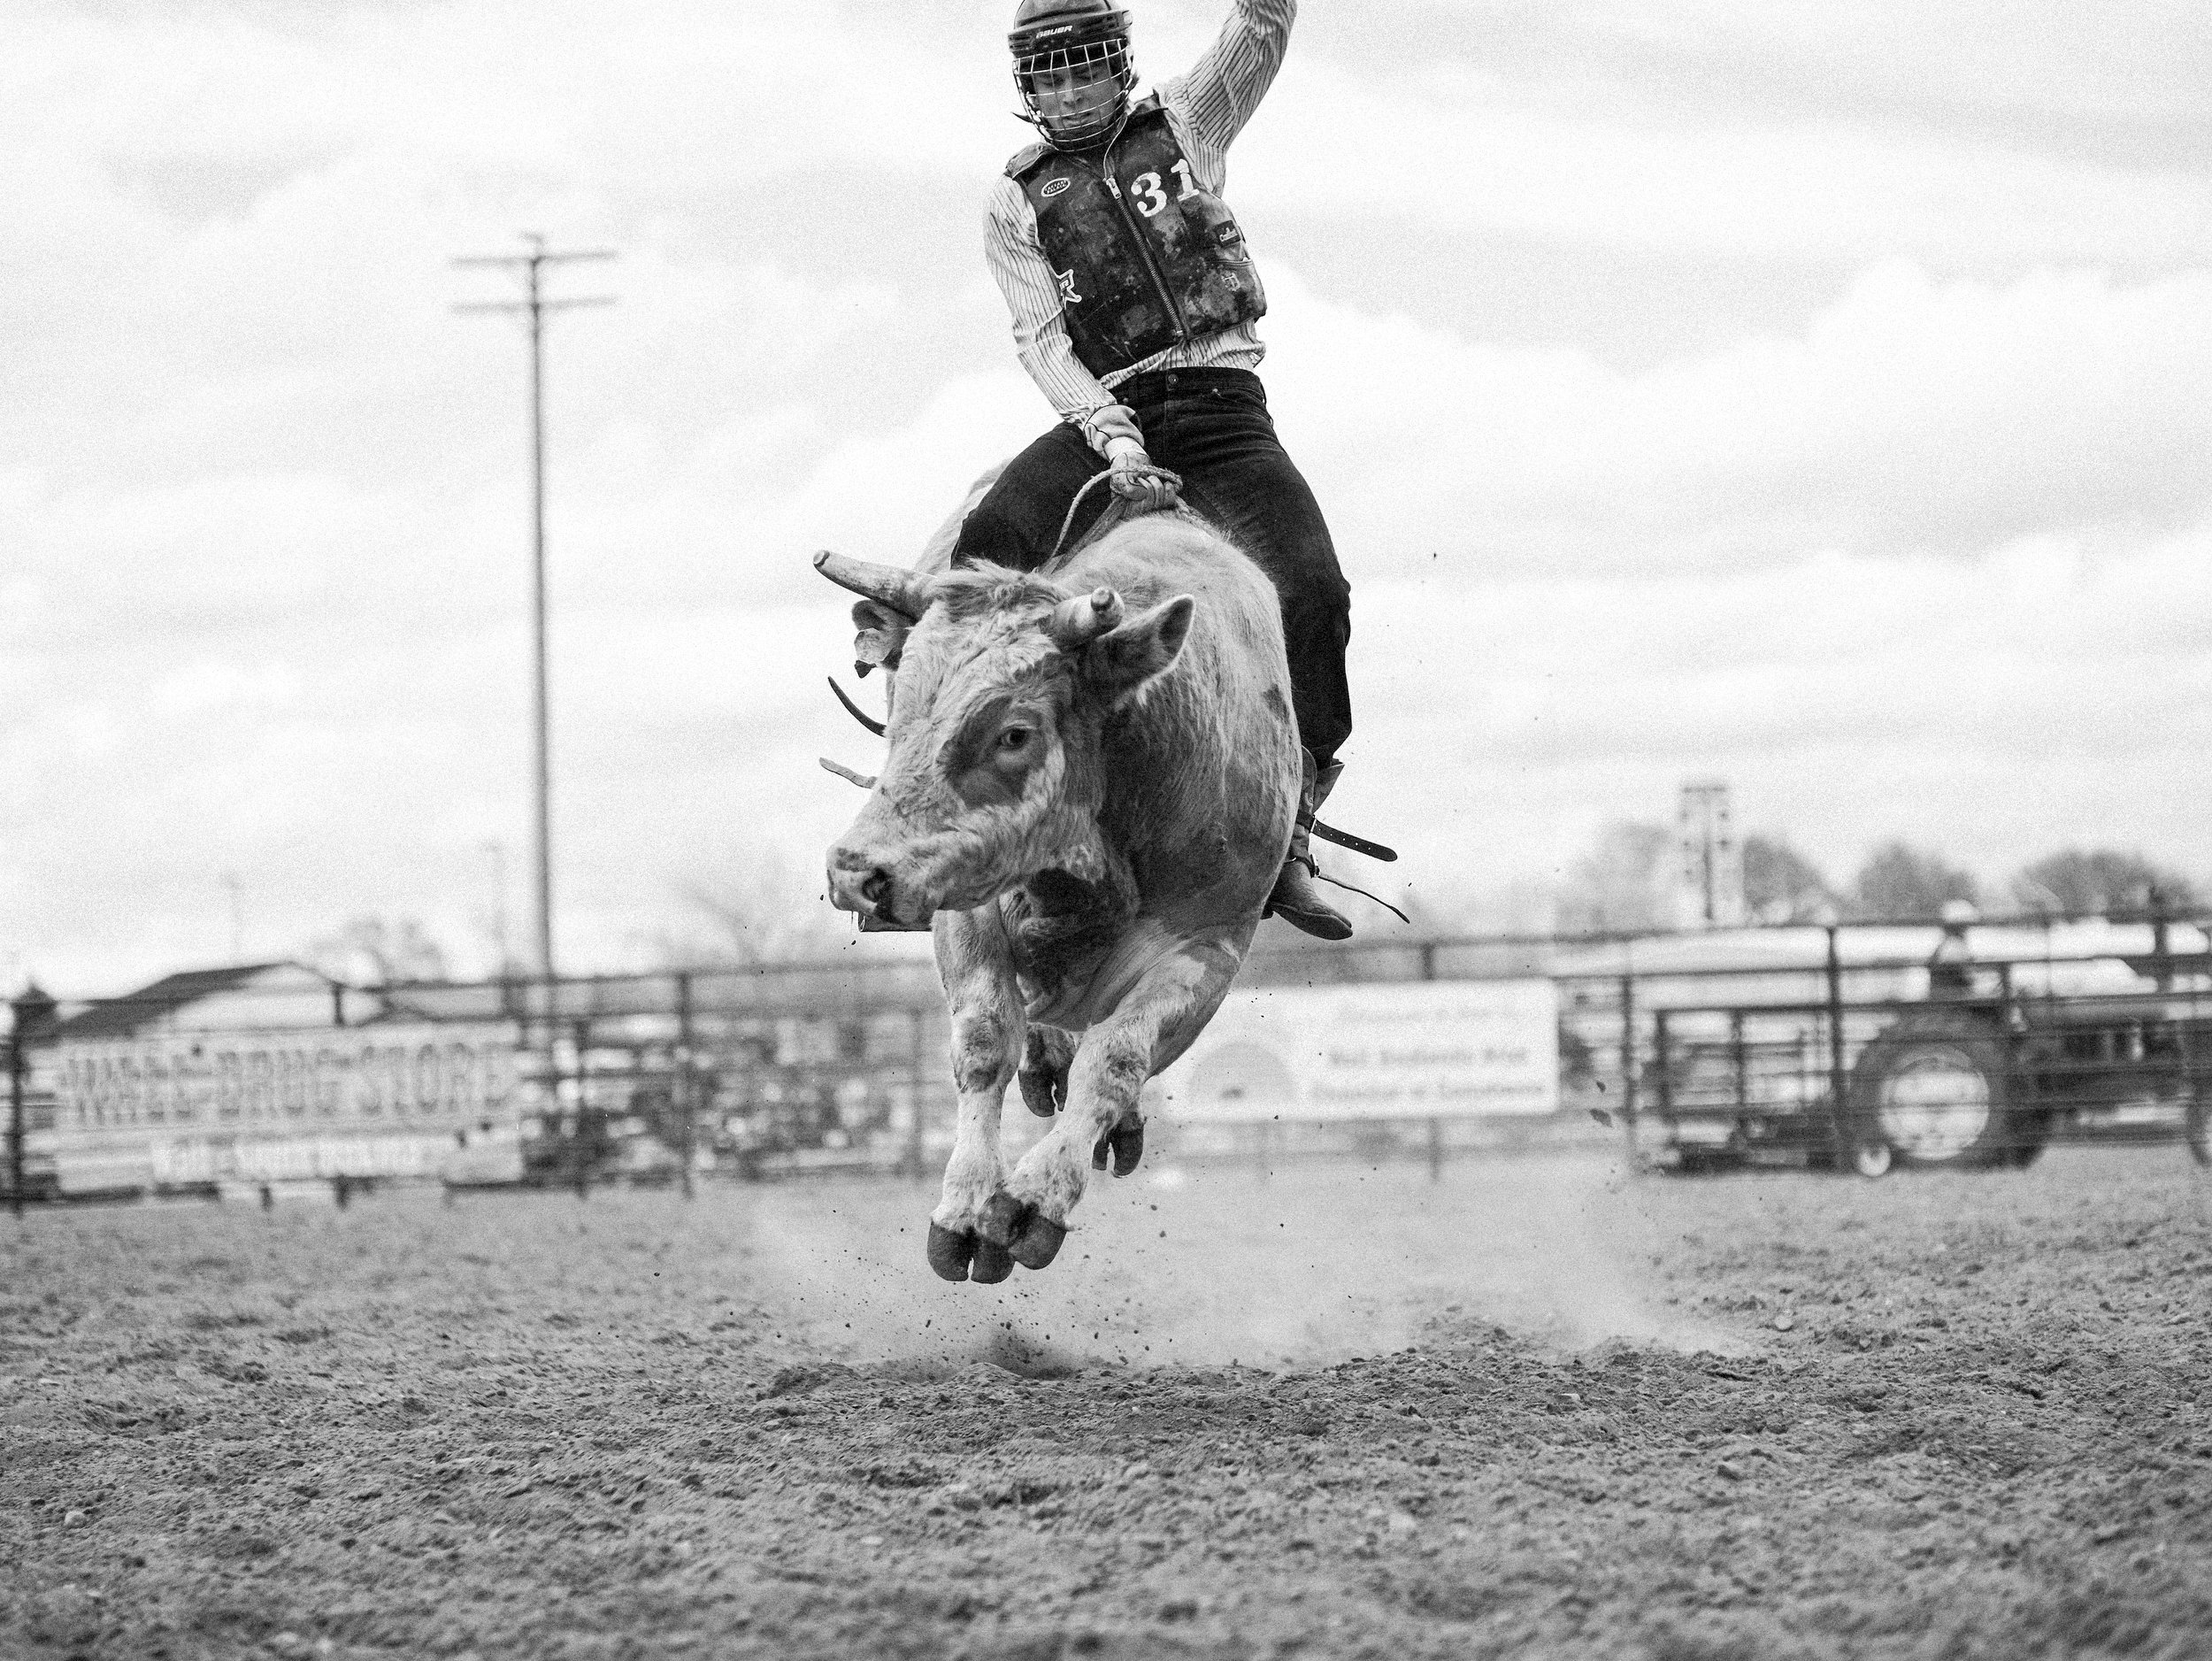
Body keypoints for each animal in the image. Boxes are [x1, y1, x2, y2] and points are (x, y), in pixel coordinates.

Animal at [815, 495, 1298, 1283]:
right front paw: (965, 1206)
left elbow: (1118, 1056)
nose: (856, 872)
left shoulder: (1210, 945)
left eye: (1015, 732)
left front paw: (1035, 1198)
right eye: (899, 710)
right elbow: (985, 1039)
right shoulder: (969, 900)